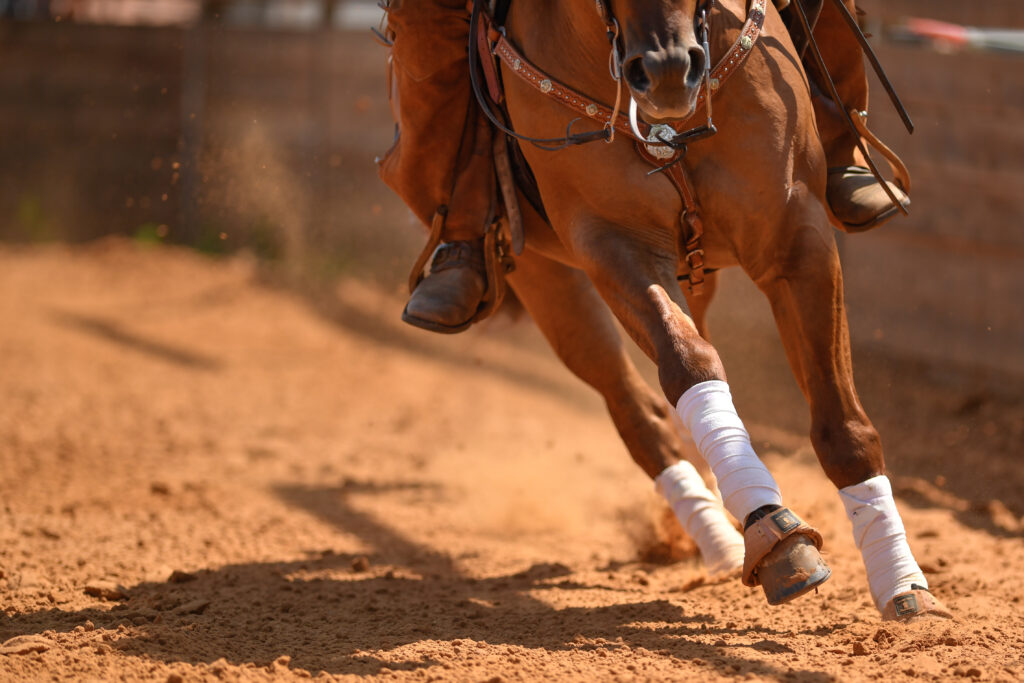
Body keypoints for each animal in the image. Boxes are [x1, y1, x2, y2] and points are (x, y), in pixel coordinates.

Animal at [459, 0, 949, 619]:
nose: (668, 70)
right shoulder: (611, 244)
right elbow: (688, 363)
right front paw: (776, 537)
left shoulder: (797, 236)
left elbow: (843, 422)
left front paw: (904, 586)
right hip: (547, 277)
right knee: (637, 410)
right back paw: (717, 535)